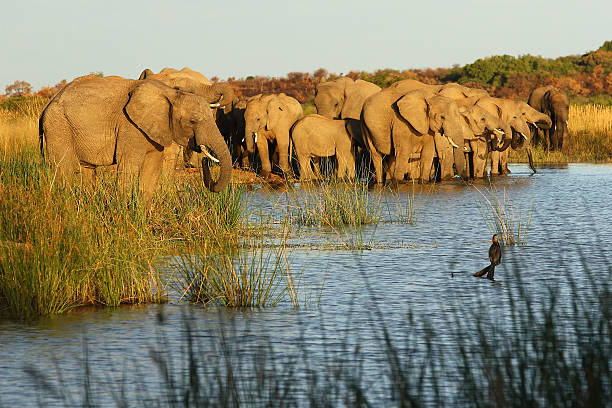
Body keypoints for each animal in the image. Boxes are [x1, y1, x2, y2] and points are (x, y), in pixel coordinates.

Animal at [39, 74, 232, 207]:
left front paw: (142, 219)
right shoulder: (129, 126)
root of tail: (47, 106)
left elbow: (152, 169)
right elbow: (128, 167)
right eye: (192, 121)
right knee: (64, 170)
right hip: (59, 127)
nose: (205, 160)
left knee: (87, 170)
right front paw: (124, 217)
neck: (169, 93)